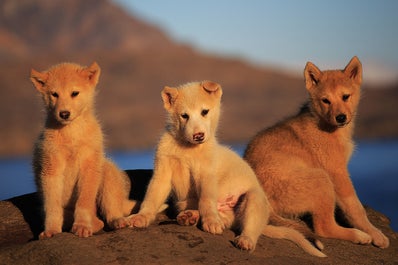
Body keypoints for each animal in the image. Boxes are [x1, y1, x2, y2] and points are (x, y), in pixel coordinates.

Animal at [29, 62, 135, 237]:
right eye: (54, 94)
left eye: (74, 93)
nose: (64, 114)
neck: (71, 133)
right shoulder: (51, 168)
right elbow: (52, 206)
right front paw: (51, 230)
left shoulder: (90, 165)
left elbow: (84, 202)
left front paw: (82, 226)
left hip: (107, 170)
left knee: (109, 211)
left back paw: (117, 221)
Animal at [127, 81, 326, 256]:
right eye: (184, 116)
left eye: (205, 112)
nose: (198, 136)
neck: (187, 148)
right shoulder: (163, 171)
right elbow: (151, 198)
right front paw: (140, 217)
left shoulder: (206, 173)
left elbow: (207, 199)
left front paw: (210, 222)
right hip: (186, 202)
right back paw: (190, 216)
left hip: (254, 199)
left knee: (250, 226)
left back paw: (244, 239)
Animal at [244, 55, 390, 248]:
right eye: (325, 100)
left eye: (345, 96)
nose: (341, 117)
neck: (327, 126)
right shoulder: (337, 172)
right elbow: (356, 208)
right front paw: (375, 234)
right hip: (322, 178)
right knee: (323, 228)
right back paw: (359, 235)